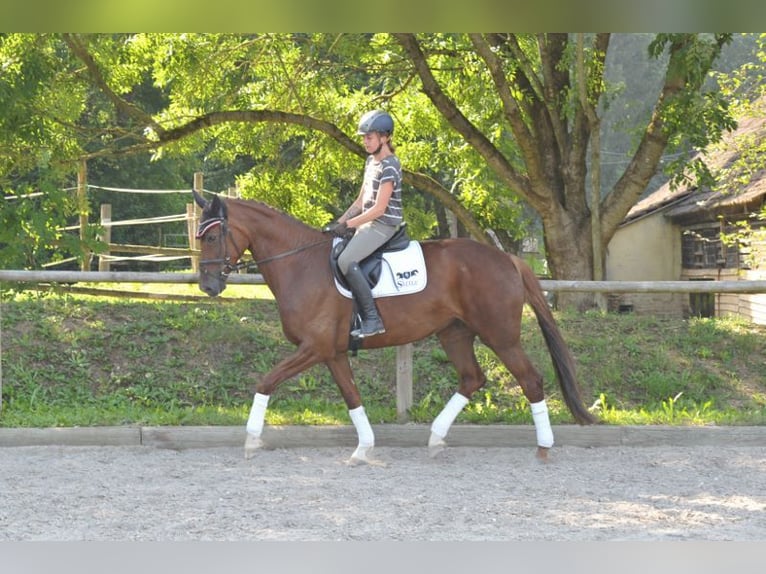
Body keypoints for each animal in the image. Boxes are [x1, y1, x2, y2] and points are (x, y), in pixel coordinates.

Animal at [194, 191, 600, 466]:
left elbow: (266, 381)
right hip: (454, 334)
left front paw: (251, 440)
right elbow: (352, 397)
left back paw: (543, 447)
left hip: (501, 336)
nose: (208, 287)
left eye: (212, 237)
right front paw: (363, 449)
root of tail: (507, 258)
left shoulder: (314, 348)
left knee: (530, 380)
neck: (300, 263)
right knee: (472, 379)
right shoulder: (332, 353)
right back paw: (435, 439)